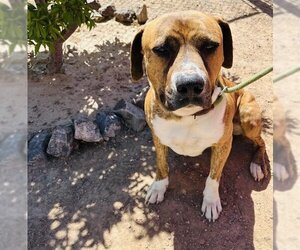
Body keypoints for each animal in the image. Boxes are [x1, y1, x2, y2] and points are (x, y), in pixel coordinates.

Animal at [130, 10, 268, 221]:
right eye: (161, 49)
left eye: (210, 46)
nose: (189, 85)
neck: (188, 115)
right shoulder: (158, 139)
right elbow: (161, 165)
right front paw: (158, 187)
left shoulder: (222, 145)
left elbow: (213, 177)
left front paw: (210, 201)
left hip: (248, 118)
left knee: (262, 142)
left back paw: (257, 164)